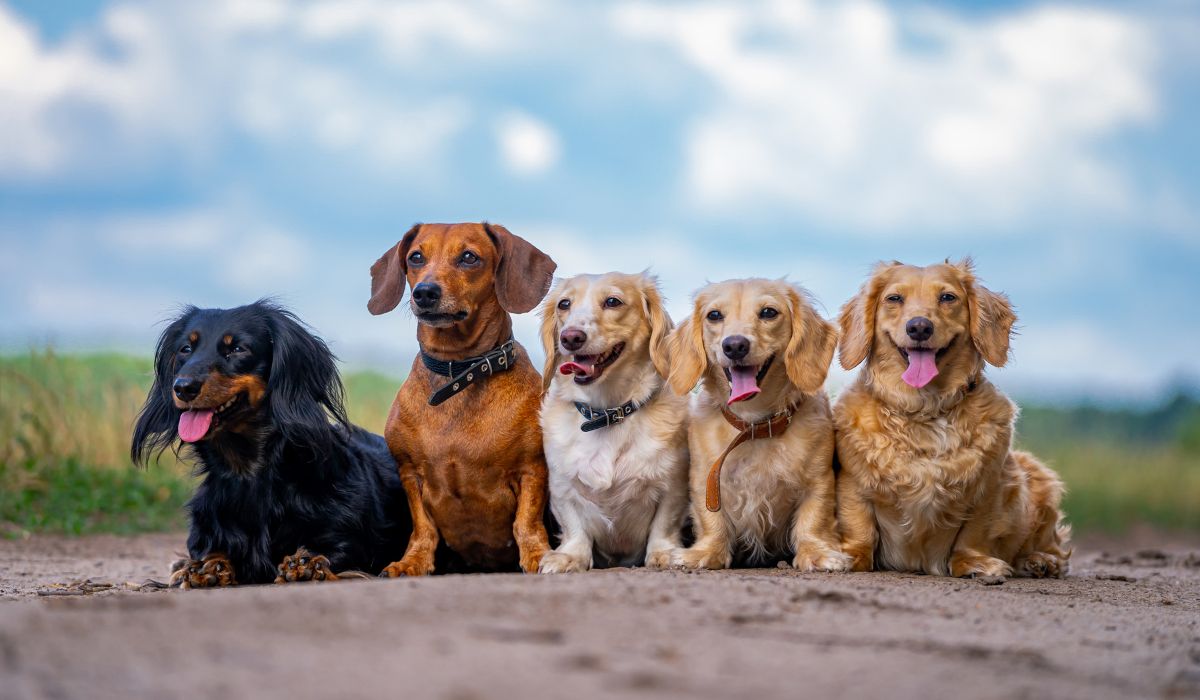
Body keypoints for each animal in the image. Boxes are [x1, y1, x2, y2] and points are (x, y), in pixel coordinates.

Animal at [130, 300, 410, 585]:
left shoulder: (350, 541)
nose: (183, 387)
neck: (251, 473)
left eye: (238, 349)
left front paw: (305, 564)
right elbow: (210, 551)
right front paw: (206, 567)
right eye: (186, 349)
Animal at [364, 223, 556, 576]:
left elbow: (526, 522)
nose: (425, 292)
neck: (460, 371)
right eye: (415, 257)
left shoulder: (533, 469)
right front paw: (412, 562)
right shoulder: (410, 473)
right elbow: (423, 527)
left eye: (469, 257)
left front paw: (538, 555)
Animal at [540, 271, 691, 571]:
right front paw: (571, 556)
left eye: (612, 301)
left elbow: (664, 524)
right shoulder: (562, 488)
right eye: (564, 304)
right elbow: (575, 528)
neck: (606, 412)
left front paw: (663, 553)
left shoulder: (673, 485)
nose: (570, 337)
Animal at [667, 276, 844, 571]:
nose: (735, 345)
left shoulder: (818, 480)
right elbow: (712, 521)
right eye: (714, 315)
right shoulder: (705, 480)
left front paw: (816, 553)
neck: (754, 425)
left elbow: (812, 519)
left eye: (769, 312)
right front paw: (706, 552)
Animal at [835, 260, 1070, 578]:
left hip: (1039, 480)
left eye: (948, 297)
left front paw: (974, 563)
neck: (925, 408)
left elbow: (973, 534)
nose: (919, 327)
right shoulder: (853, 483)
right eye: (894, 298)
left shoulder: (989, 487)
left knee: (1051, 545)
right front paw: (850, 555)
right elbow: (860, 527)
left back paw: (1040, 561)